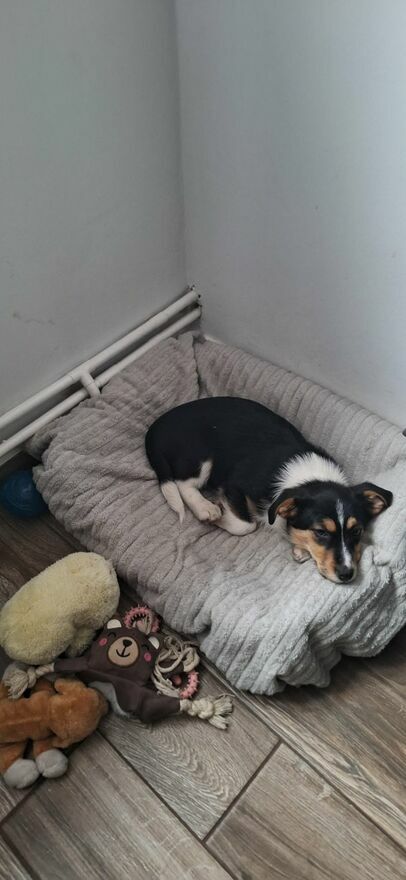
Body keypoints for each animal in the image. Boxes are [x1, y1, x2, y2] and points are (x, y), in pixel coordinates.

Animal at [145, 397, 392, 583]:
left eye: (357, 531)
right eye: (320, 532)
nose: (347, 575)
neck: (310, 478)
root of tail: (155, 427)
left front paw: (300, 548)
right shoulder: (234, 485)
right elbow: (246, 524)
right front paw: (220, 516)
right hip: (201, 456)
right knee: (183, 483)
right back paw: (205, 508)